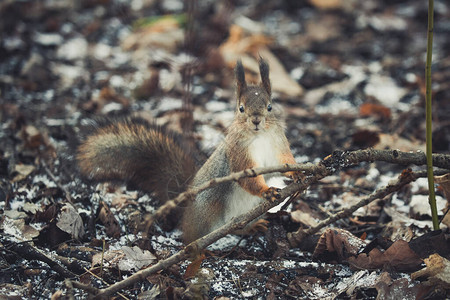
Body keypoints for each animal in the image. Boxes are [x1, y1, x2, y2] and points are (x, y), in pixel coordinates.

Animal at [78, 58, 298, 241]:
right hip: (206, 210)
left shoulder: (278, 145)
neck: (259, 136)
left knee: (237, 227)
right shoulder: (237, 154)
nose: (256, 120)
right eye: (241, 108)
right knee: (192, 237)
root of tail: (185, 211)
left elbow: (283, 162)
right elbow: (247, 177)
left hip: (249, 212)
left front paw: (296, 173)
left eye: (269, 106)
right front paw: (266, 190)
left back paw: (250, 227)